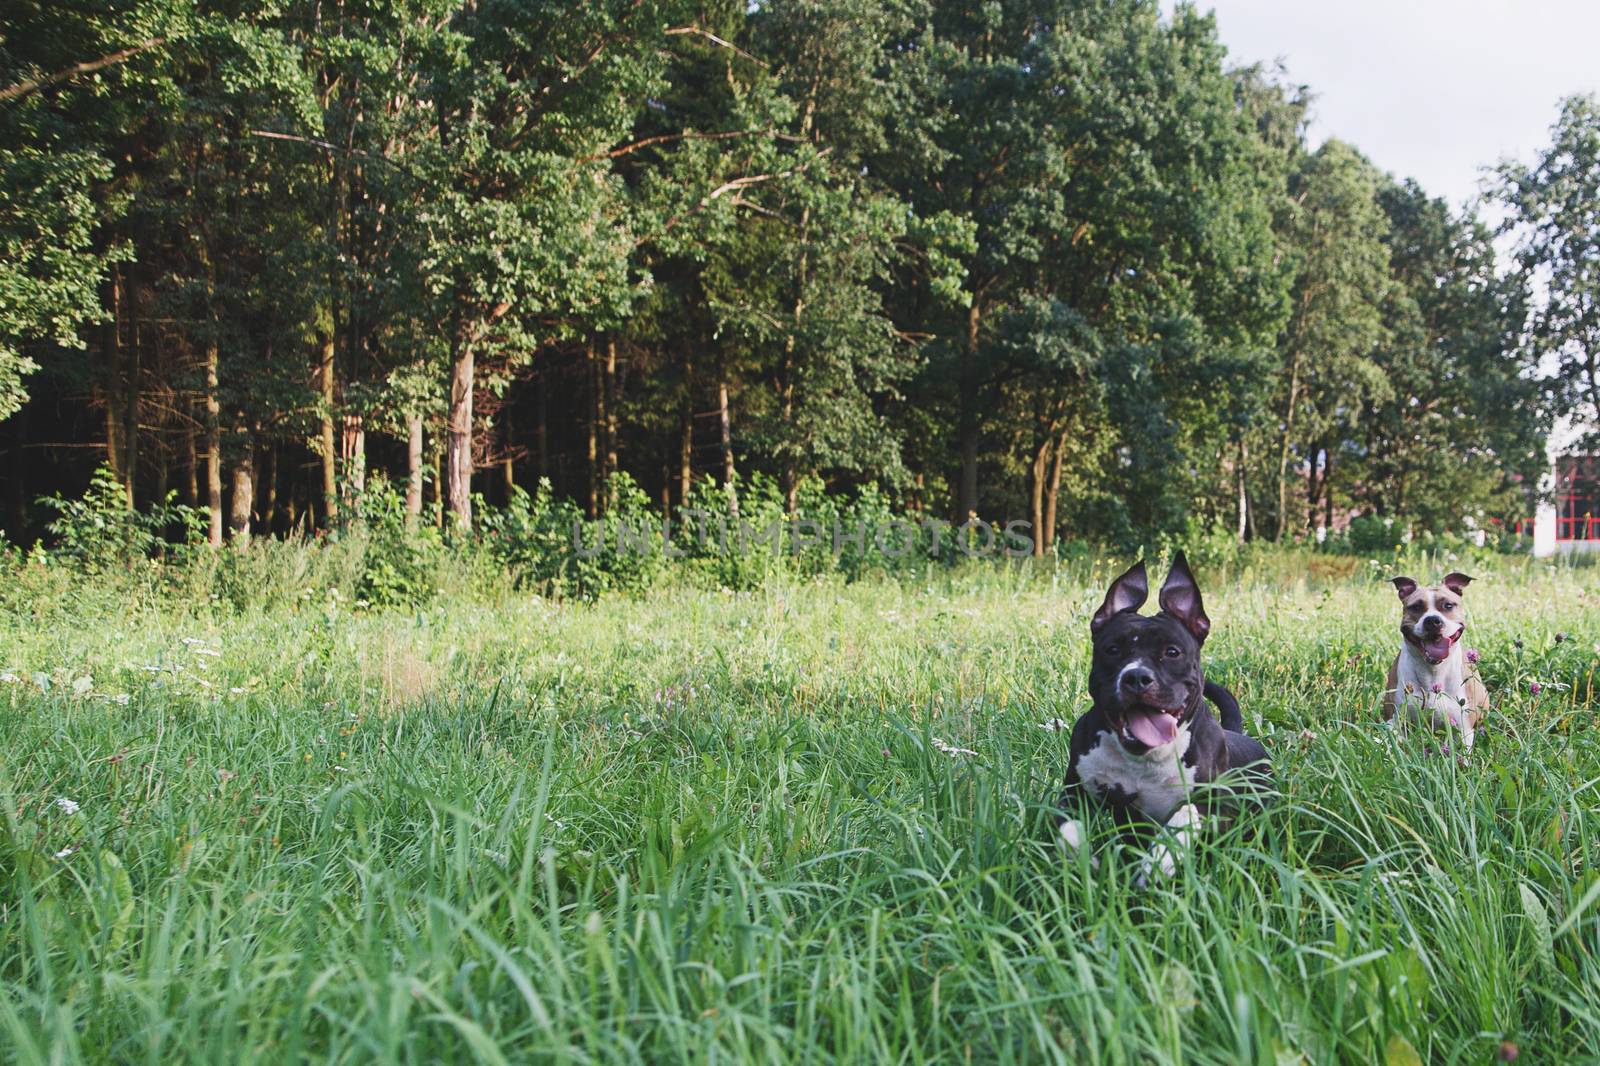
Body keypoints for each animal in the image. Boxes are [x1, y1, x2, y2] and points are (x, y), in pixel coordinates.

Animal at [1056, 547, 1267, 877]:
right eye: (1112, 649)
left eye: (1172, 652)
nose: (1136, 677)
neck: (1143, 759)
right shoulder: (1075, 791)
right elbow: (1066, 831)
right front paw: (1085, 862)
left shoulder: (1212, 806)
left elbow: (1184, 817)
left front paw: (1159, 860)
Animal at [1382, 569, 1491, 752]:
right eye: (1416, 607)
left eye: (1448, 605)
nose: (1432, 620)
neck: (1433, 672)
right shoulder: (1395, 720)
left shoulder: (1464, 729)